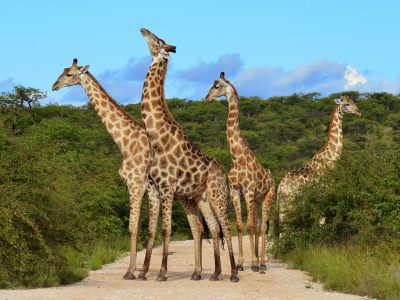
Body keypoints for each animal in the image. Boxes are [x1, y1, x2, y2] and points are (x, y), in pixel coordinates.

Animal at [51, 59, 155, 280]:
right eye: (64, 71)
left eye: (70, 74)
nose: (54, 86)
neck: (125, 143)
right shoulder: (143, 187)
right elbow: (142, 227)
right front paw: (138, 270)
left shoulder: (135, 185)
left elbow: (132, 227)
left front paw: (130, 272)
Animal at [138, 27, 238, 282]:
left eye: (158, 41)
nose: (143, 30)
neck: (157, 138)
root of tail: (221, 171)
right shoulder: (155, 189)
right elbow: (153, 230)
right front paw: (142, 273)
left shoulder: (167, 188)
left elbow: (166, 229)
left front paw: (161, 273)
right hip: (199, 197)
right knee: (210, 227)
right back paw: (210, 273)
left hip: (217, 194)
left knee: (225, 226)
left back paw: (233, 273)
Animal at [205, 71, 276, 274]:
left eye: (216, 86)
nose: (206, 99)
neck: (237, 157)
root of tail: (273, 177)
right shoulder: (235, 191)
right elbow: (239, 226)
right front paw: (241, 263)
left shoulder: (249, 190)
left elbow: (249, 227)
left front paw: (252, 263)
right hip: (257, 200)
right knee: (259, 224)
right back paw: (259, 260)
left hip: (268, 196)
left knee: (263, 226)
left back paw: (261, 264)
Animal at [278, 96, 362, 227]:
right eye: (347, 104)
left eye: (354, 101)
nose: (359, 112)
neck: (332, 157)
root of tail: (280, 185)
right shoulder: (324, 191)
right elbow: (322, 219)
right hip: (290, 201)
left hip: (284, 203)